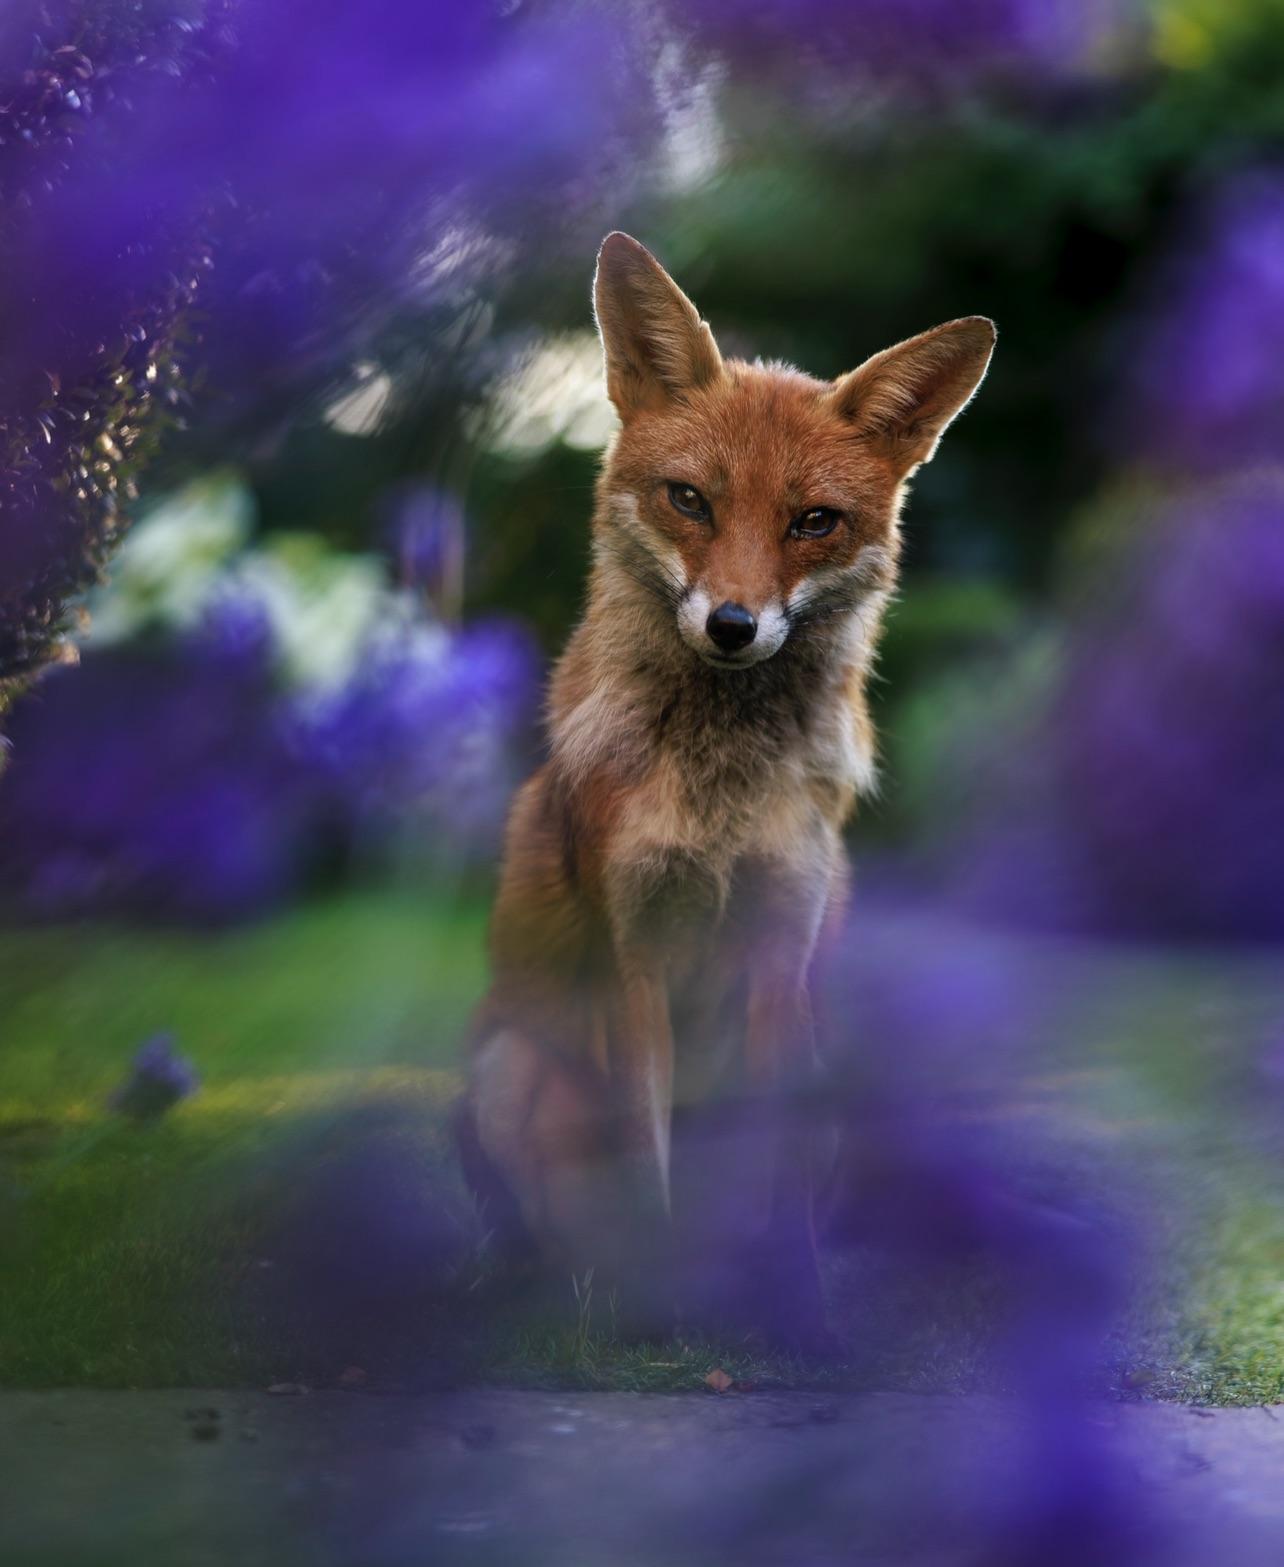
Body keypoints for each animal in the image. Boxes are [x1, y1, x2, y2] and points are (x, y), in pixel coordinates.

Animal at [458, 232, 994, 1350]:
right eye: (690, 499)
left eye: (814, 522)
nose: (734, 626)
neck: (719, 797)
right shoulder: (632, 963)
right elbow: (649, 1153)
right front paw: (660, 1314)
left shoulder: (780, 951)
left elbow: (767, 1160)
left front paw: (796, 1305)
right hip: (501, 1068)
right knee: (534, 1233)